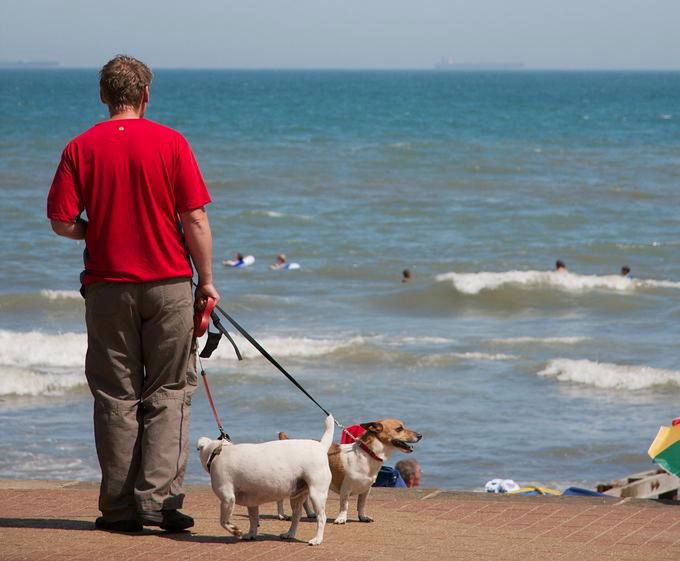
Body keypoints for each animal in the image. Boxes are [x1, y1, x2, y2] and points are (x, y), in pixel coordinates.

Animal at [197, 414, 334, 544]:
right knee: (296, 515)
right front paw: (251, 534)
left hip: (316, 494)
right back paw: (289, 534)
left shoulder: (227, 498)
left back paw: (317, 539)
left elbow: (223, 521)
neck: (217, 452)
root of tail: (321, 446)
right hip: (296, 496)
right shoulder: (251, 502)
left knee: (321, 517)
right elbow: (253, 519)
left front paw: (236, 531)